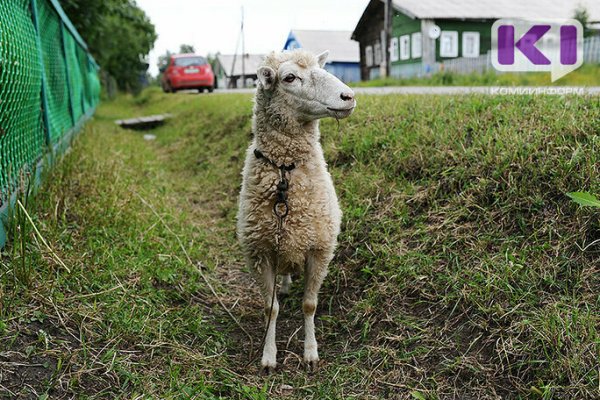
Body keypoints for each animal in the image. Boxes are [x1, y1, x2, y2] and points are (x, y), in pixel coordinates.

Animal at [236, 49, 356, 372]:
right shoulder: (260, 253)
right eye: (289, 77)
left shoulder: (320, 249)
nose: (348, 96)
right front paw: (268, 356)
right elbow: (271, 308)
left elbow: (309, 305)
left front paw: (310, 353)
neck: (285, 171)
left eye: (321, 67)